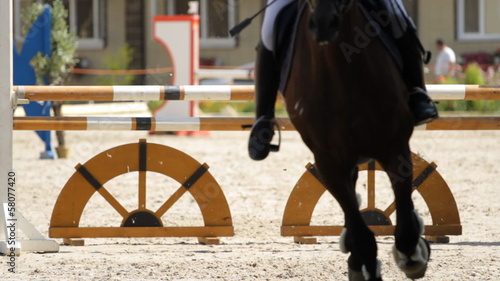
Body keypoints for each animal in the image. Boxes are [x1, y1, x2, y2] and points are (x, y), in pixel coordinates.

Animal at [282, 0, 430, 280]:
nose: (324, 24)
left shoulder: (395, 147)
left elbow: (403, 203)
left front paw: (412, 253)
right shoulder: (328, 161)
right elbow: (356, 222)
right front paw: (364, 262)